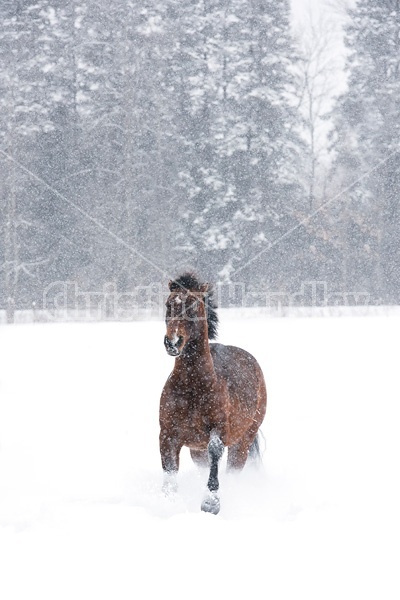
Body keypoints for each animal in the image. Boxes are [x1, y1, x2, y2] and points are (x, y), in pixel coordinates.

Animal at [159, 274, 266, 512]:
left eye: (193, 306)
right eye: (169, 304)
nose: (173, 342)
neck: (192, 387)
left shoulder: (218, 431)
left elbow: (215, 452)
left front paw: (210, 502)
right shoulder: (168, 435)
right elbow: (169, 471)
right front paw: (169, 503)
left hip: (243, 440)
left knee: (233, 469)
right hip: (196, 450)